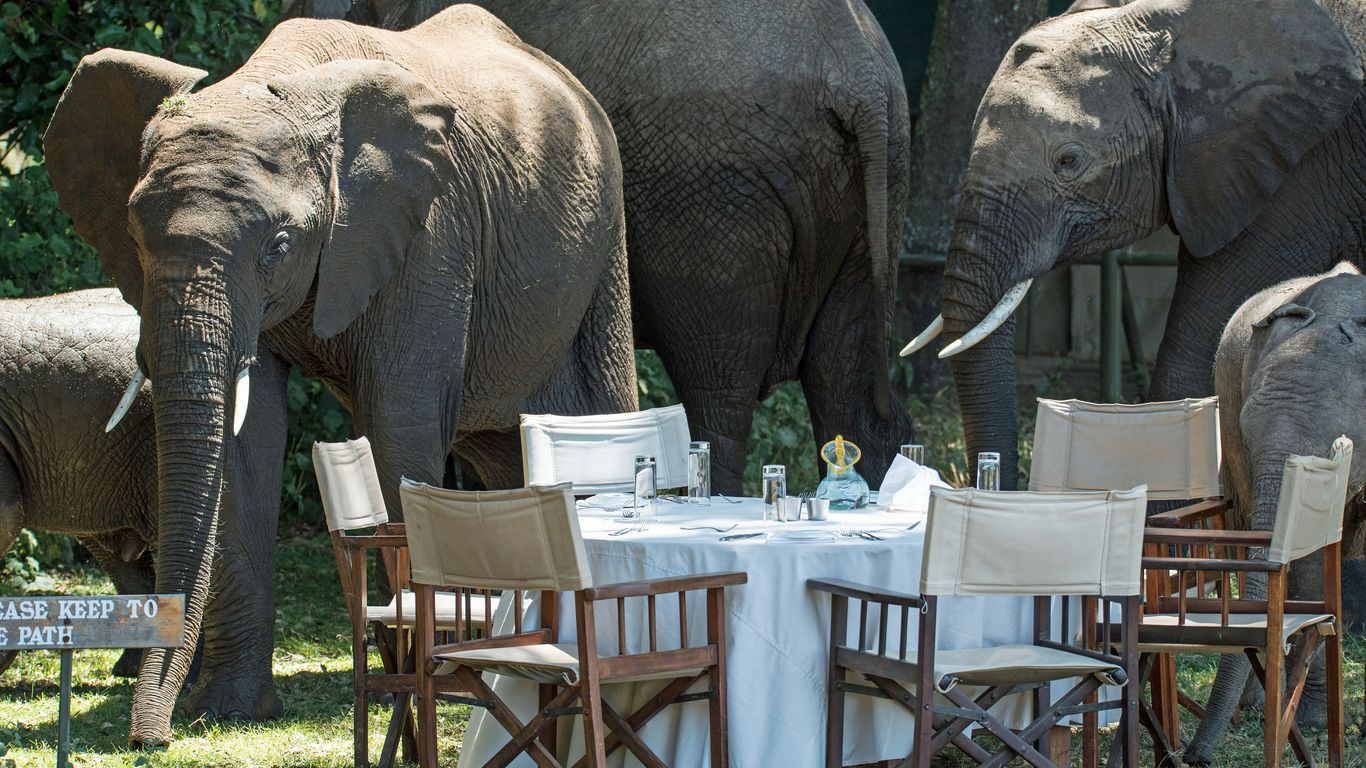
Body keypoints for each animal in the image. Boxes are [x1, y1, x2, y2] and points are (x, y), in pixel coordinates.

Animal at [44, 6, 636, 744]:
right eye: (132, 235)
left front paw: (425, 677)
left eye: (278, 246)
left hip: (604, 245)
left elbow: (397, 422)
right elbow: (249, 438)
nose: (149, 740)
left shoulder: (432, 232)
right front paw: (227, 710)